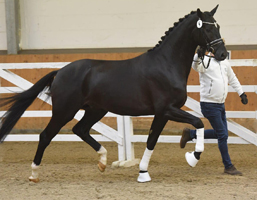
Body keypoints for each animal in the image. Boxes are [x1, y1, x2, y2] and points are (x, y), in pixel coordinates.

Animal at [0, 5, 225, 183]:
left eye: (218, 26)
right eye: (207, 28)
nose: (222, 54)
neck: (166, 64)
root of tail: (61, 71)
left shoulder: (162, 114)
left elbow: (152, 141)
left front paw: (143, 173)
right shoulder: (167, 110)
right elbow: (198, 122)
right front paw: (192, 158)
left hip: (95, 110)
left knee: (80, 129)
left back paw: (102, 161)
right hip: (64, 111)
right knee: (46, 135)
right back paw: (34, 174)